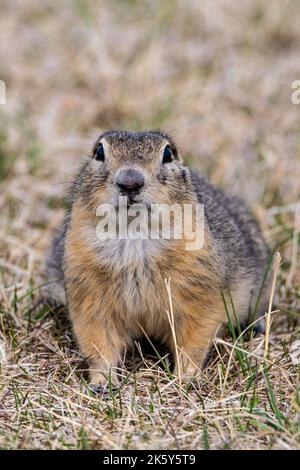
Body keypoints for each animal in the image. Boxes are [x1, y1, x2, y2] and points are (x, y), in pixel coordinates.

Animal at [45, 130, 270, 388]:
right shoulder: (88, 294)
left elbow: (193, 340)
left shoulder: (199, 292)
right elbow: (99, 342)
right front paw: (102, 382)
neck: (134, 235)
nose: (130, 181)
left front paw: (185, 379)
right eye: (99, 152)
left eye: (168, 153)